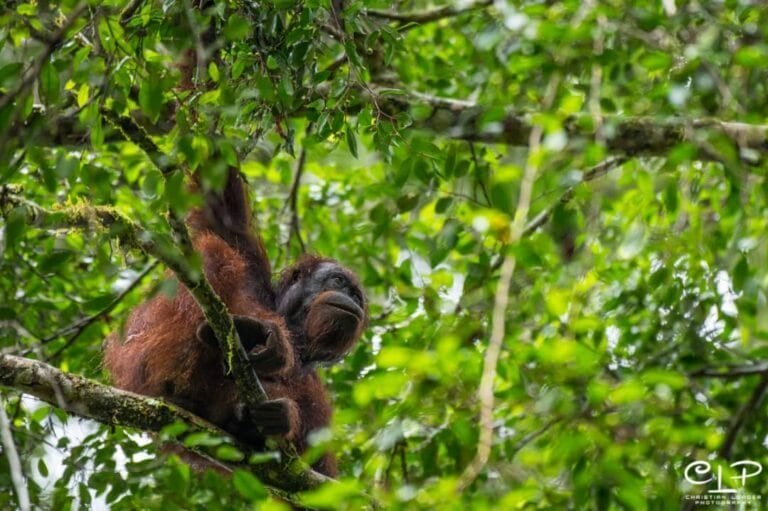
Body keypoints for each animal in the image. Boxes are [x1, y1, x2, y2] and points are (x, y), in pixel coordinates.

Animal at [104, 167, 367, 476]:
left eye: (357, 296)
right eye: (338, 281)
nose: (351, 300)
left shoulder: (317, 395)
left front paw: (282, 417)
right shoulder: (245, 253)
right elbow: (218, 201)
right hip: (143, 363)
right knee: (213, 254)